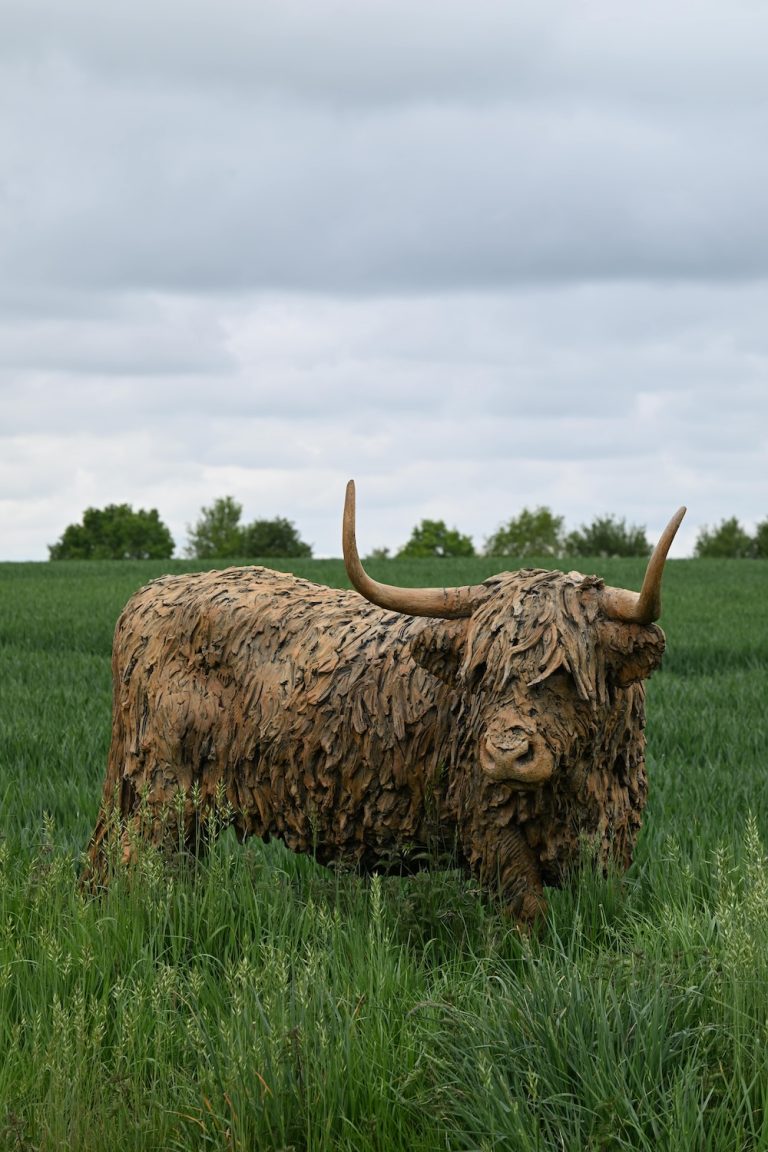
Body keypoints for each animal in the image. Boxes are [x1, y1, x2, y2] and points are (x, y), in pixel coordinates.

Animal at [85, 481, 685, 922]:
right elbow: (527, 914)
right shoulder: (488, 828)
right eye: (481, 674)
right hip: (162, 787)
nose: (507, 754)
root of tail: (149, 595)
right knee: (135, 861)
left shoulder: (609, 838)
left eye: (562, 675)